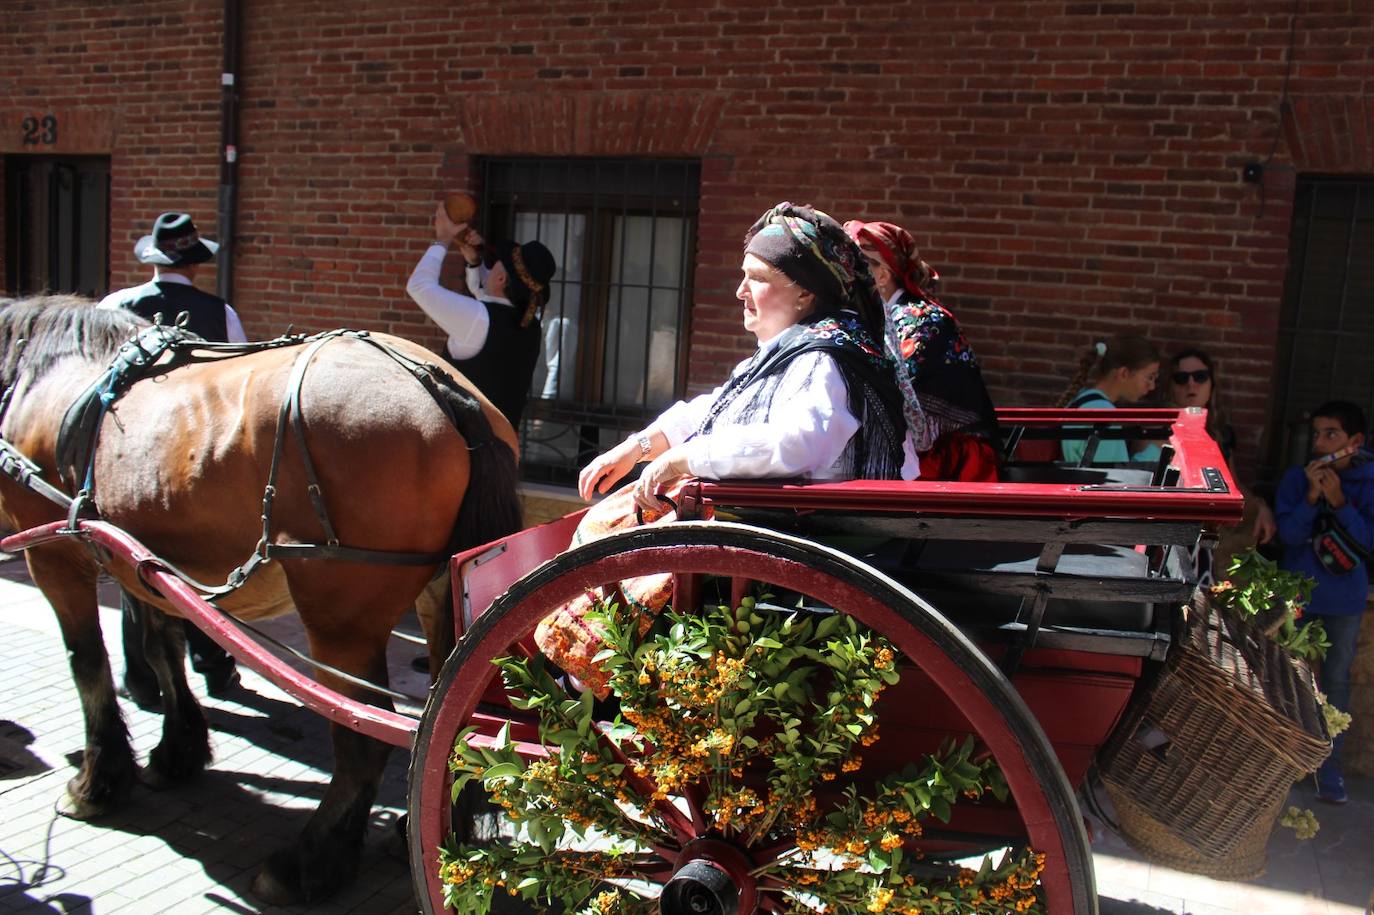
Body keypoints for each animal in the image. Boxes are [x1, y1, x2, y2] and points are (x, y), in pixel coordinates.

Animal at [0, 295, 519, 901]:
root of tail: (439, 384)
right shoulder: (139, 560)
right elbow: (162, 652)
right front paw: (176, 753)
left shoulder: (54, 556)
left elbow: (87, 663)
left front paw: (97, 782)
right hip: (441, 597)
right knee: (450, 719)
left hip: (341, 618)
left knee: (367, 736)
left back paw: (308, 862)